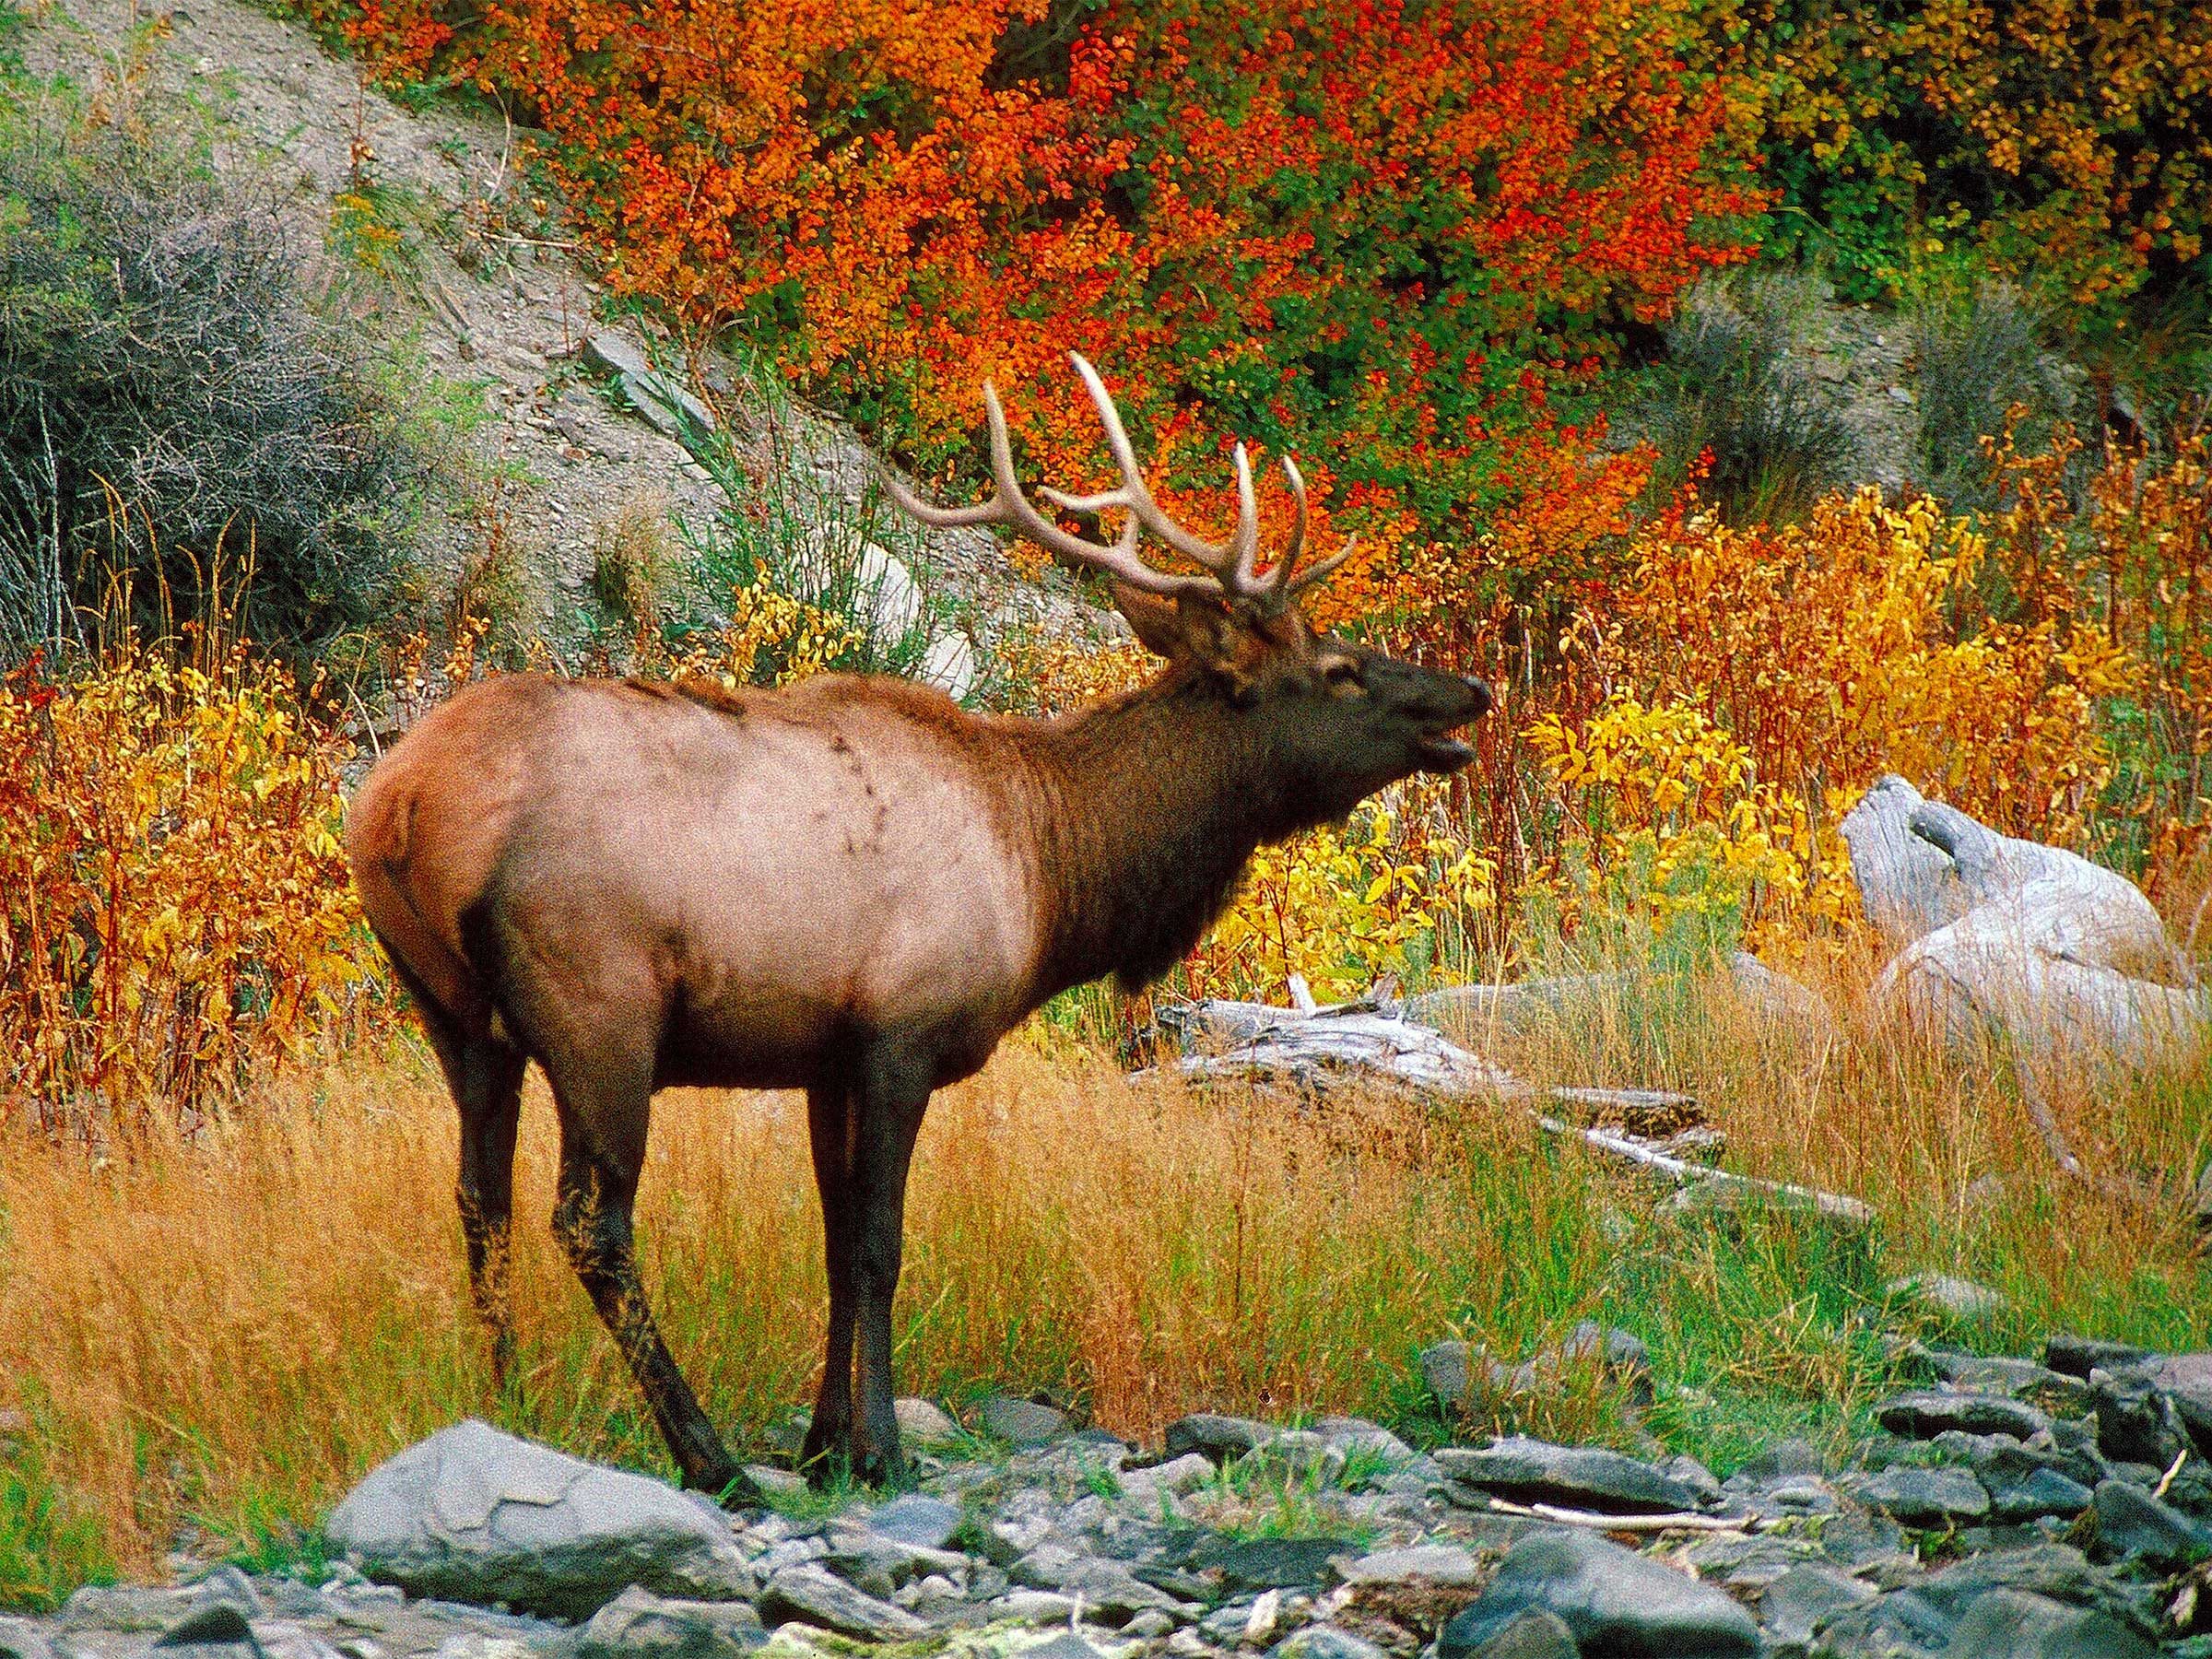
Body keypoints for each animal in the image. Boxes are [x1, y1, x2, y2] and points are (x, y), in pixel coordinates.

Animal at [346, 354, 1491, 1498]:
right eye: (1339, 669)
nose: (1468, 694)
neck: (1048, 871)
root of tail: (398, 806)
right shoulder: (902, 1029)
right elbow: (880, 1247)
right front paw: (881, 1449)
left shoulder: (824, 1053)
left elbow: (831, 1241)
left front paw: (825, 1444)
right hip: (598, 1006)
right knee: (589, 1222)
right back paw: (705, 1455)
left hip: (456, 1017)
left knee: (479, 1202)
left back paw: (510, 1411)